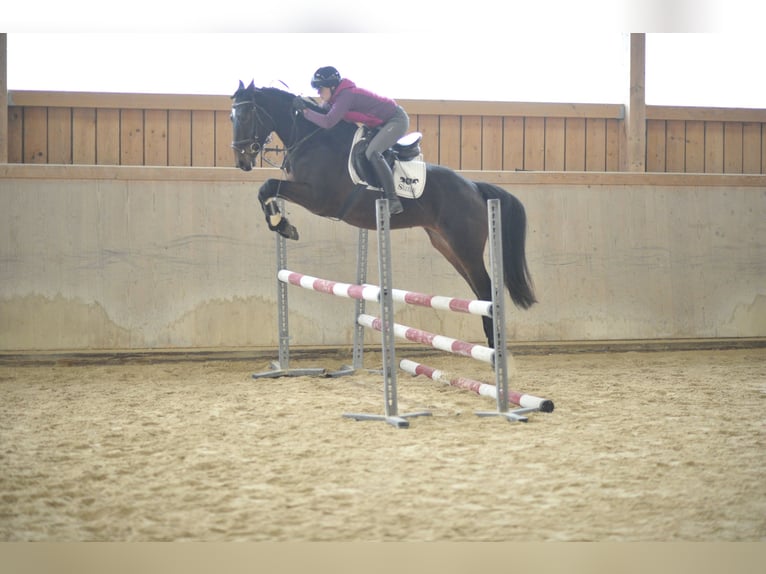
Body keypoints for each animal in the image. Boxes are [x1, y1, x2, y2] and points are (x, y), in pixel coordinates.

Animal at [231, 78, 536, 344]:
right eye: (231, 117)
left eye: (245, 116)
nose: (241, 161)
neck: (310, 138)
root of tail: (473, 187)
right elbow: (267, 191)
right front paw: (281, 223)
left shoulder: (318, 198)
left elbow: (267, 186)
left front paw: (282, 225)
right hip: (447, 245)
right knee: (479, 290)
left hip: (465, 246)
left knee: (485, 288)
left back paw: (494, 347)